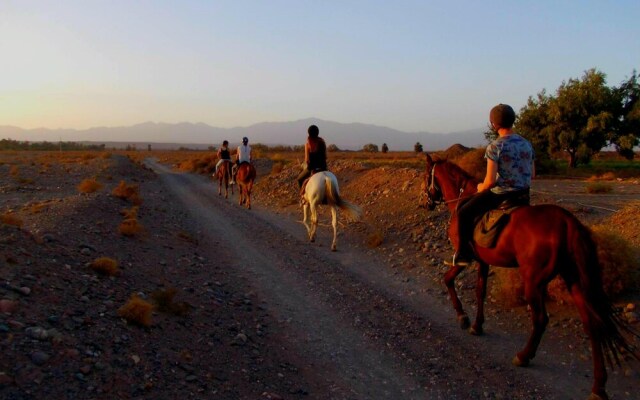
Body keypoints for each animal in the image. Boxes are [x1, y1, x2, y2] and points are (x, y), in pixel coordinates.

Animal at [420, 153, 636, 400]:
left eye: (426, 176)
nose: (425, 202)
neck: (462, 198)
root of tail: (566, 222)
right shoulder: (484, 261)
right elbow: (480, 291)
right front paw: (477, 325)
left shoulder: (465, 256)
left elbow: (448, 279)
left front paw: (462, 317)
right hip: (574, 279)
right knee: (592, 324)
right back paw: (598, 386)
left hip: (534, 280)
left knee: (541, 319)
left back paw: (523, 356)